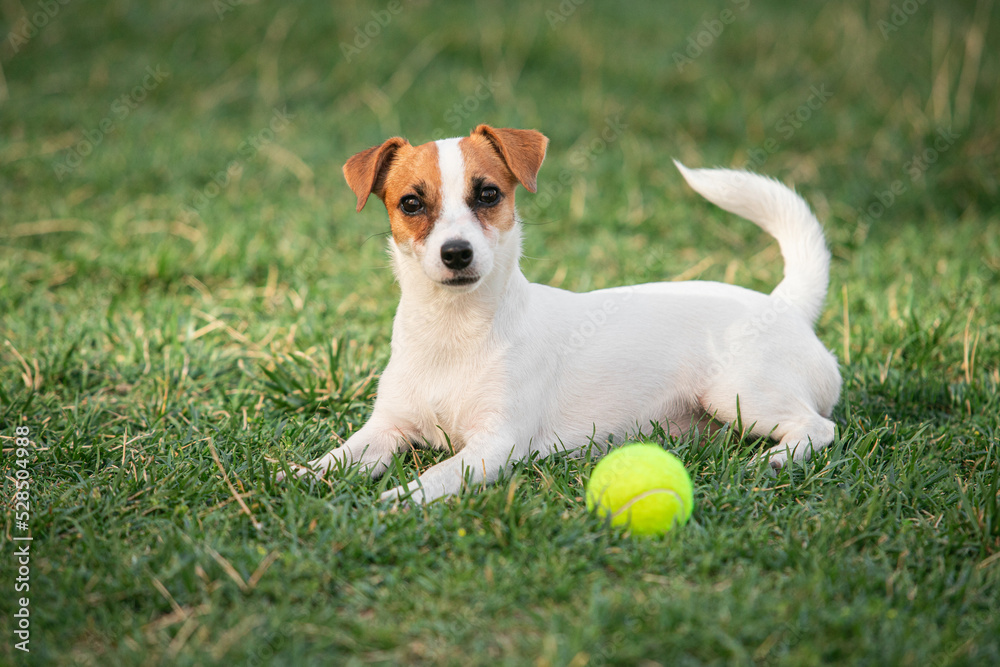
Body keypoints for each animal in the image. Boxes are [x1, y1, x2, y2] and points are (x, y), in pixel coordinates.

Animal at [280, 124, 844, 500]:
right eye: (411, 204)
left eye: (488, 194)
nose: (457, 253)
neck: (453, 331)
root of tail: (786, 304)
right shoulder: (386, 431)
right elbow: (337, 458)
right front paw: (293, 479)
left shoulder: (494, 444)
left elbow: (436, 476)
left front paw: (397, 501)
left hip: (738, 393)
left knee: (819, 428)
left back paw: (775, 460)